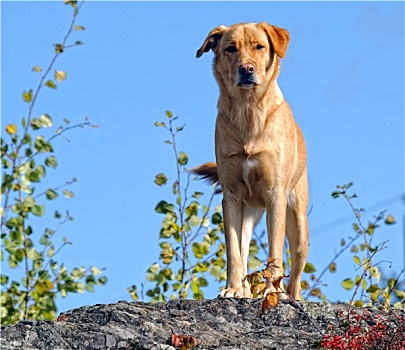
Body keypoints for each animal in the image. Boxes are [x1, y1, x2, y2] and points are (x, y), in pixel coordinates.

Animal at [193, 22, 310, 300]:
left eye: (259, 46)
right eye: (230, 48)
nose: (246, 69)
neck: (248, 111)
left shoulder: (275, 195)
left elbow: (275, 254)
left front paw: (272, 292)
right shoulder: (231, 197)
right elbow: (233, 252)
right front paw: (234, 288)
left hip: (298, 225)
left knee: (296, 273)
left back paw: (292, 296)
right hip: (248, 214)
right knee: (243, 248)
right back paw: (244, 289)